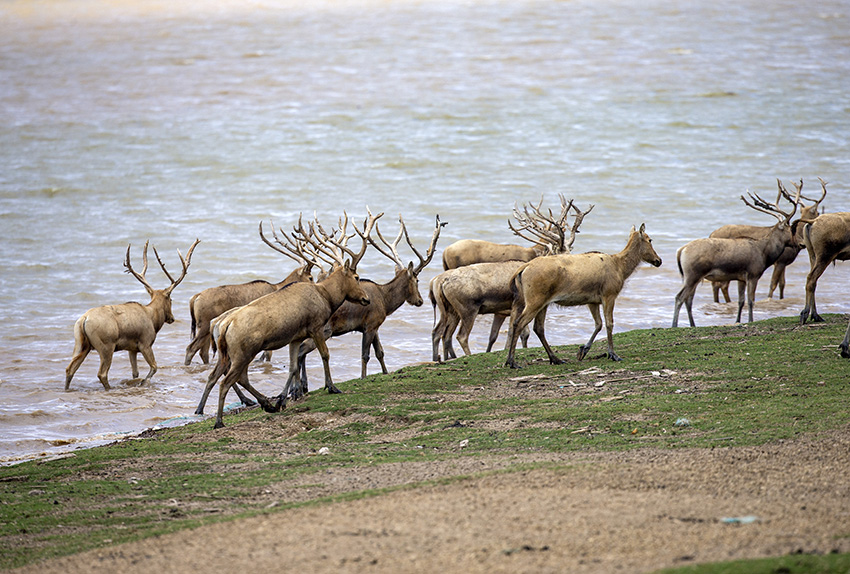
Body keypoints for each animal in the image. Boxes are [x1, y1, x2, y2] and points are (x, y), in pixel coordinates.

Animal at [65, 238, 200, 392]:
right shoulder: (145, 343)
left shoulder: (132, 349)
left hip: (81, 343)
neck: (153, 319)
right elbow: (154, 367)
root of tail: (84, 319)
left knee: (70, 369)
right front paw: (143, 383)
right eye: (171, 299)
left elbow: (135, 373)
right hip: (106, 345)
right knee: (102, 373)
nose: (172, 318)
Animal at [184, 223, 316, 366]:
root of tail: (196, 296)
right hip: (203, 327)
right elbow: (268, 354)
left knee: (202, 352)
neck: (278, 287)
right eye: (310, 277)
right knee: (191, 348)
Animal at [292, 214, 448, 398]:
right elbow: (366, 354)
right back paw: (302, 388)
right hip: (324, 331)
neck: (385, 302)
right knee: (301, 350)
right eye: (416, 280)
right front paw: (363, 377)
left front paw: (386, 373)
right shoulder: (371, 324)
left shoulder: (373, 326)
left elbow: (380, 352)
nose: (420, 300)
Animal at [672, 184, 800, 328]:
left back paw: (692, 325)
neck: (765, 254)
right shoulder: (753, 274)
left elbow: (741, 301)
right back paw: (674, 325)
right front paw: (750, 320)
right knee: (679, 297)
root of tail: (681, 250)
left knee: (688, 299)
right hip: (693, 275)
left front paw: (737, 320)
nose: (799, 243)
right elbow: (751, 300)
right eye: (792, 229)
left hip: (691, 277)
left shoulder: (741, 278)